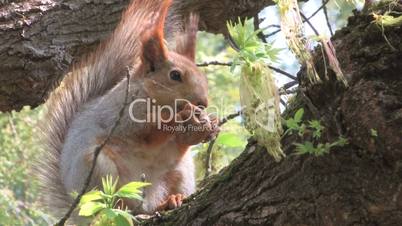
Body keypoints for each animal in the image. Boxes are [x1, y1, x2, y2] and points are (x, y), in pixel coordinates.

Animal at [37, 0, 220, 222]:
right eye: (175, 75)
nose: (203, 103)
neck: (155, 101)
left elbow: (178, 144)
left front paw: (209, 126)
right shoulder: (121, 116)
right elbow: (144, 132)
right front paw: (179, 118)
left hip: (180, 173)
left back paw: (171, 200)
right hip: (98, 169)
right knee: (116, 206)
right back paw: (126, 210)